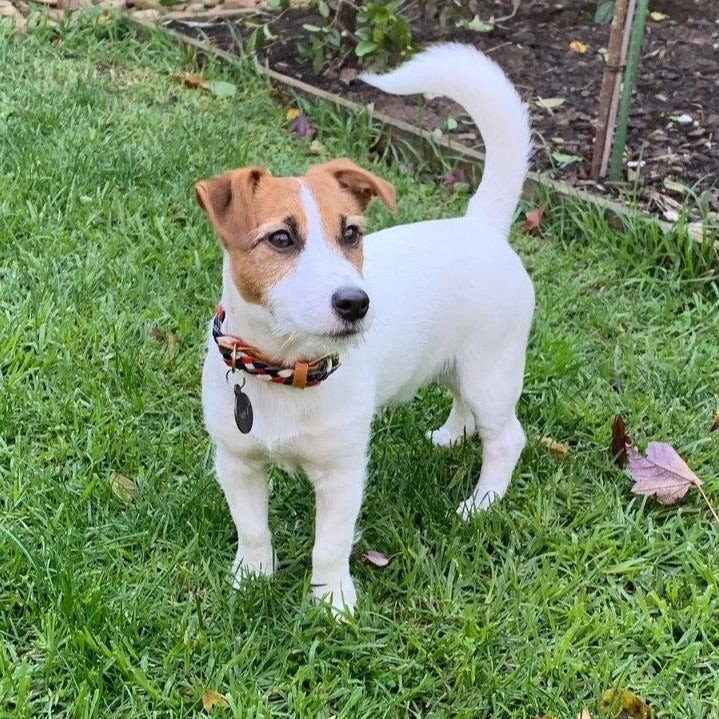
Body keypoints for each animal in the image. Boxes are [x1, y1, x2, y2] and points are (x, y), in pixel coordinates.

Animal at [195, 43, 536, 612]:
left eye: (351, 233)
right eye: (281, 239)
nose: (355, 302)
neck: (285, 368)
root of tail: (481, 225)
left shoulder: (342, 473)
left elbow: (329, 546)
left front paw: (333, 603)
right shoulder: (237, 462)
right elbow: (253, 530)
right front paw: (251, 580)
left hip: (492, 371)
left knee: (506, 438)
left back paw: (481, 503)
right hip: (457, 365)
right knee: (463, 406)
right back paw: (450, 436)